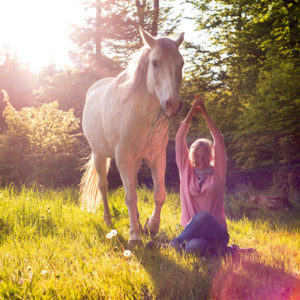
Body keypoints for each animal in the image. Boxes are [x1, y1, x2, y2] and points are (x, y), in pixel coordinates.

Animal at [82, 27, 185, 245]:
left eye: (181, 63)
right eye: (155, 62)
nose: (173, 104)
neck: (141, 115)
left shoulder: (157, 157)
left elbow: (159, 194)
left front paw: (151, 226)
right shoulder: (123, 158)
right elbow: (130, 197)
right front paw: (134, 237)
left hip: (135, 161)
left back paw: (137, 221)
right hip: (99, 154)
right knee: (104, 186)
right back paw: (108, 220)